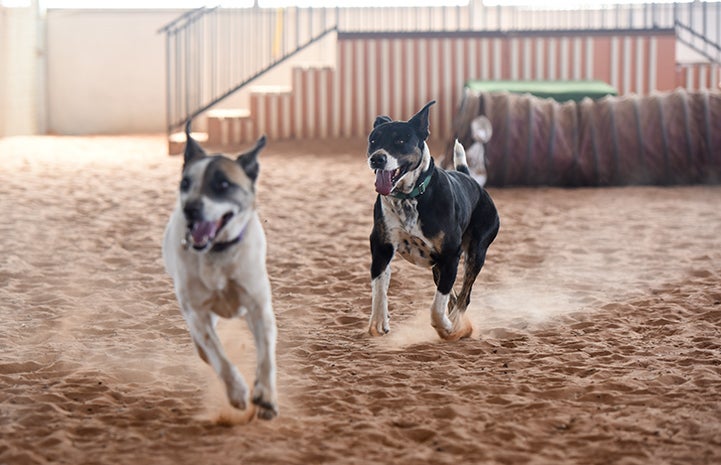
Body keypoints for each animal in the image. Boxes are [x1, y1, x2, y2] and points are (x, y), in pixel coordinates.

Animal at [162, 122, 278, 416]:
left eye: (223, 184)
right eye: (185, 183)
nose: (189, 209)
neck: (217, 252)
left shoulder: (259, 308)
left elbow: (266, 355)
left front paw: (266, 395)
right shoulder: (199, 313)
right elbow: (218, 356)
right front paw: (237, 391)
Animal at [368, 101, 498, 338]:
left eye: (400, 140)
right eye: (373, 140)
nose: (377, 158)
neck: (410, 197)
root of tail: (471, 180)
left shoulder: (451, 255)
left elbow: (437, 307)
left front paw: (446, 326)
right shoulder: (381, 246)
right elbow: (379, 286)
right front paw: (379, 321)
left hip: (476, 253)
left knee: (464, 295)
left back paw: (456, 322)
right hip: (437, 265)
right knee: (453, 295)